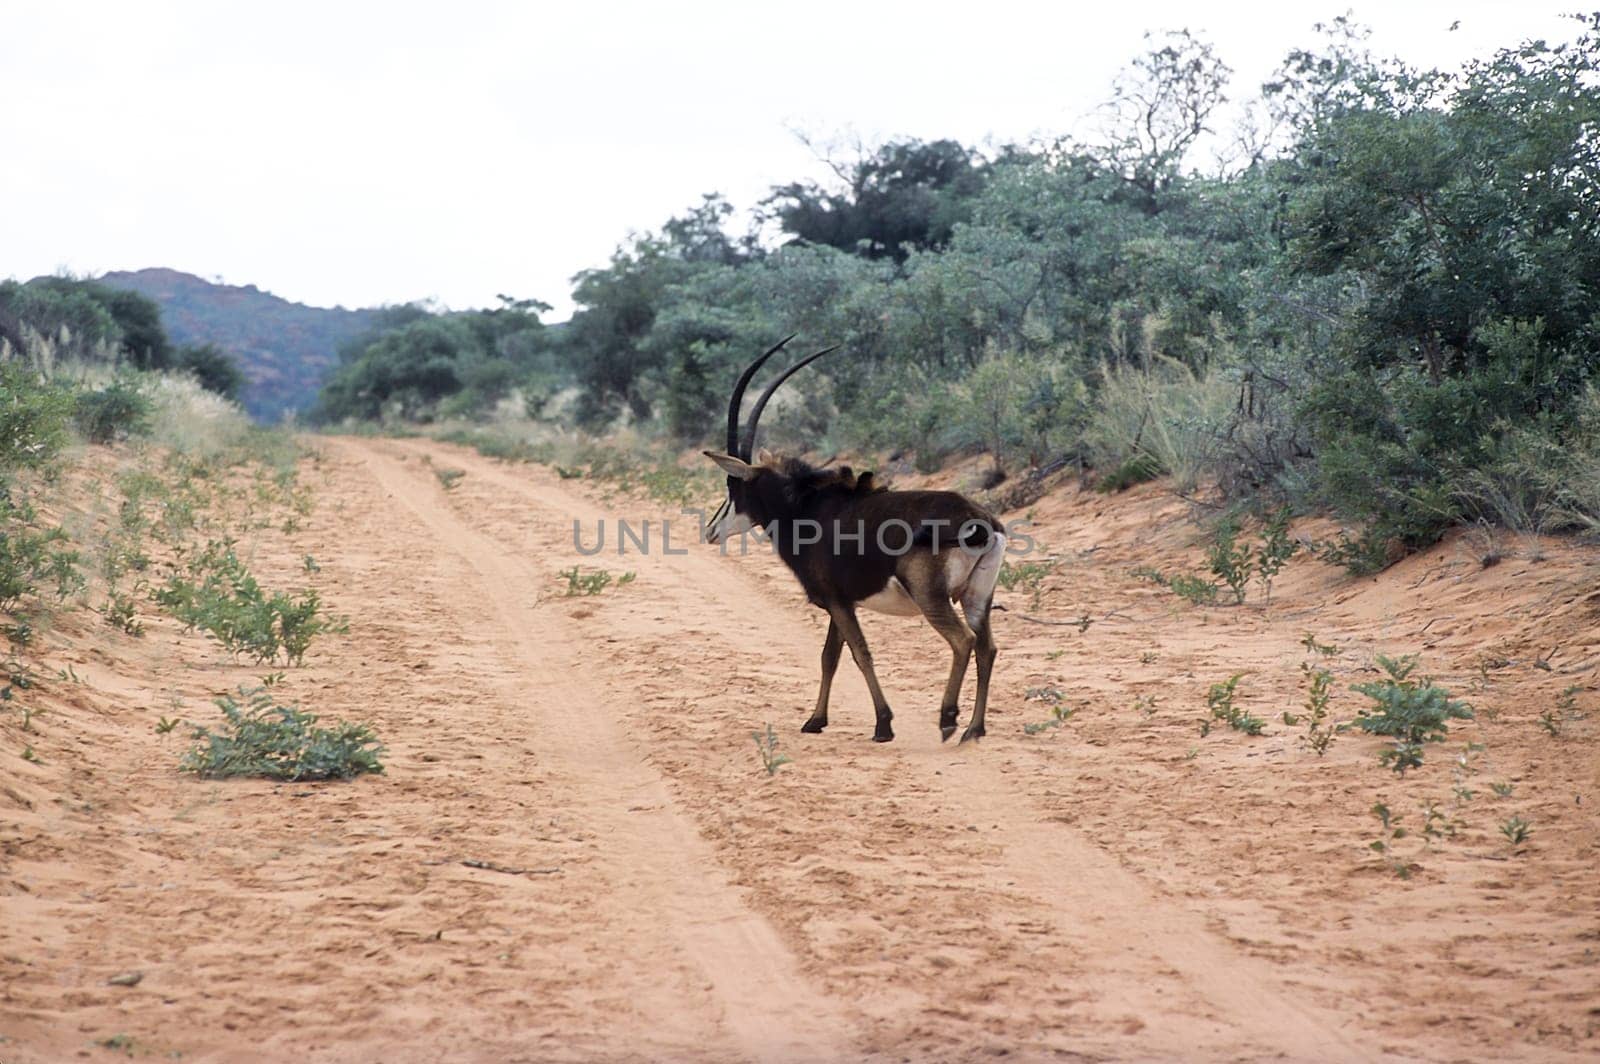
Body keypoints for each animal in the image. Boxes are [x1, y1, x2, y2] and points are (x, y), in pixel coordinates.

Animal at [707, 336, 1004, 742]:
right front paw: (816, 720)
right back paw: (973, 729)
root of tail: (979, 521)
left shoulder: (837, 601)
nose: (711, 530)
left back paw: (947, 720)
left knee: (963, 641)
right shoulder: (840, 602)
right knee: (987, 647)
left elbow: (860, 653)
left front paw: (883, 725)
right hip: (977, 596)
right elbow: (829, 657)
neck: (805, 509)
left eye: (733, 485)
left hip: (931, 596)